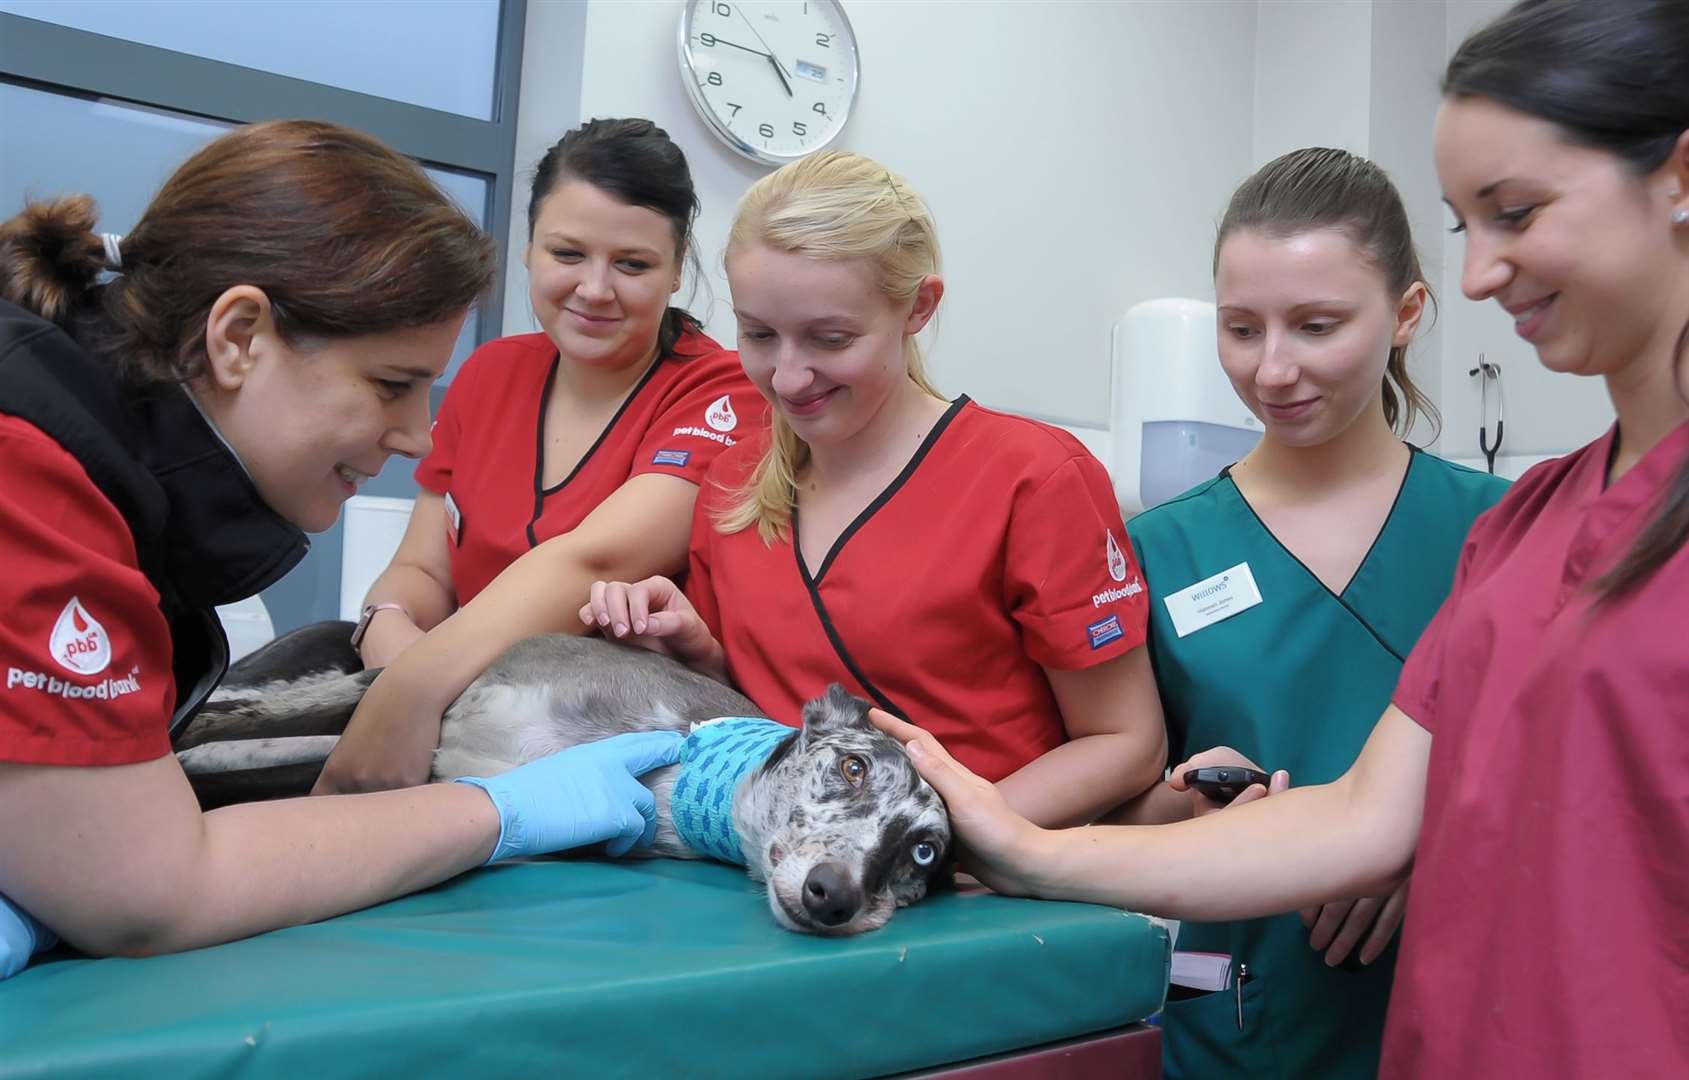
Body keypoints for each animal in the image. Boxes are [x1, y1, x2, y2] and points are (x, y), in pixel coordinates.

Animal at [181, 625, 966, 939]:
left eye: (923, 854)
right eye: (853, 767)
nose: (835, 897)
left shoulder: (413, 777)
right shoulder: (407, 704)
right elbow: (235, 727)